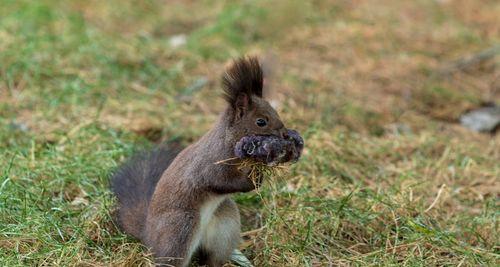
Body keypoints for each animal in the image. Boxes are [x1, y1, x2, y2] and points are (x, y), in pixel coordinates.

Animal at [109, 56, 290, 266]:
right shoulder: (210, 165)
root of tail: (149, 235)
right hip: (179, 228)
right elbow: (221, 181)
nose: (285, 134)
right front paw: (254, 180)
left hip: (224, 224)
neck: (228, 141)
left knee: (213, 256)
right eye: (261, 121)